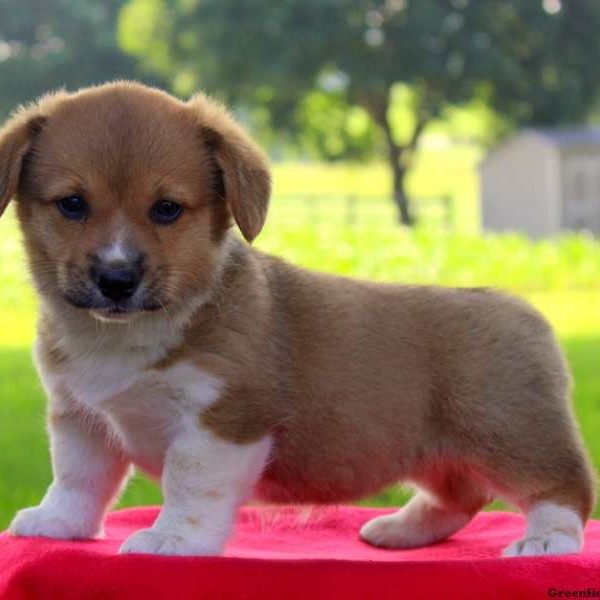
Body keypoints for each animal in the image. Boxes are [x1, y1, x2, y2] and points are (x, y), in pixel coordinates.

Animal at [0, 81, 592, 556]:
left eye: (167, 209)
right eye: (72, 204)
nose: (116, 279)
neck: (127, 336)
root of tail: (523, 310)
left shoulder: (221, 423)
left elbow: (187, 486)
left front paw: (173, 539)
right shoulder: (80, 418)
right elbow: (77, 479)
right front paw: (59, 524)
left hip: (511, 435)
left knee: (566, 489)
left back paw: (546, 541)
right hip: (440, 452)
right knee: (462, 494)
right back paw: (403, 529)